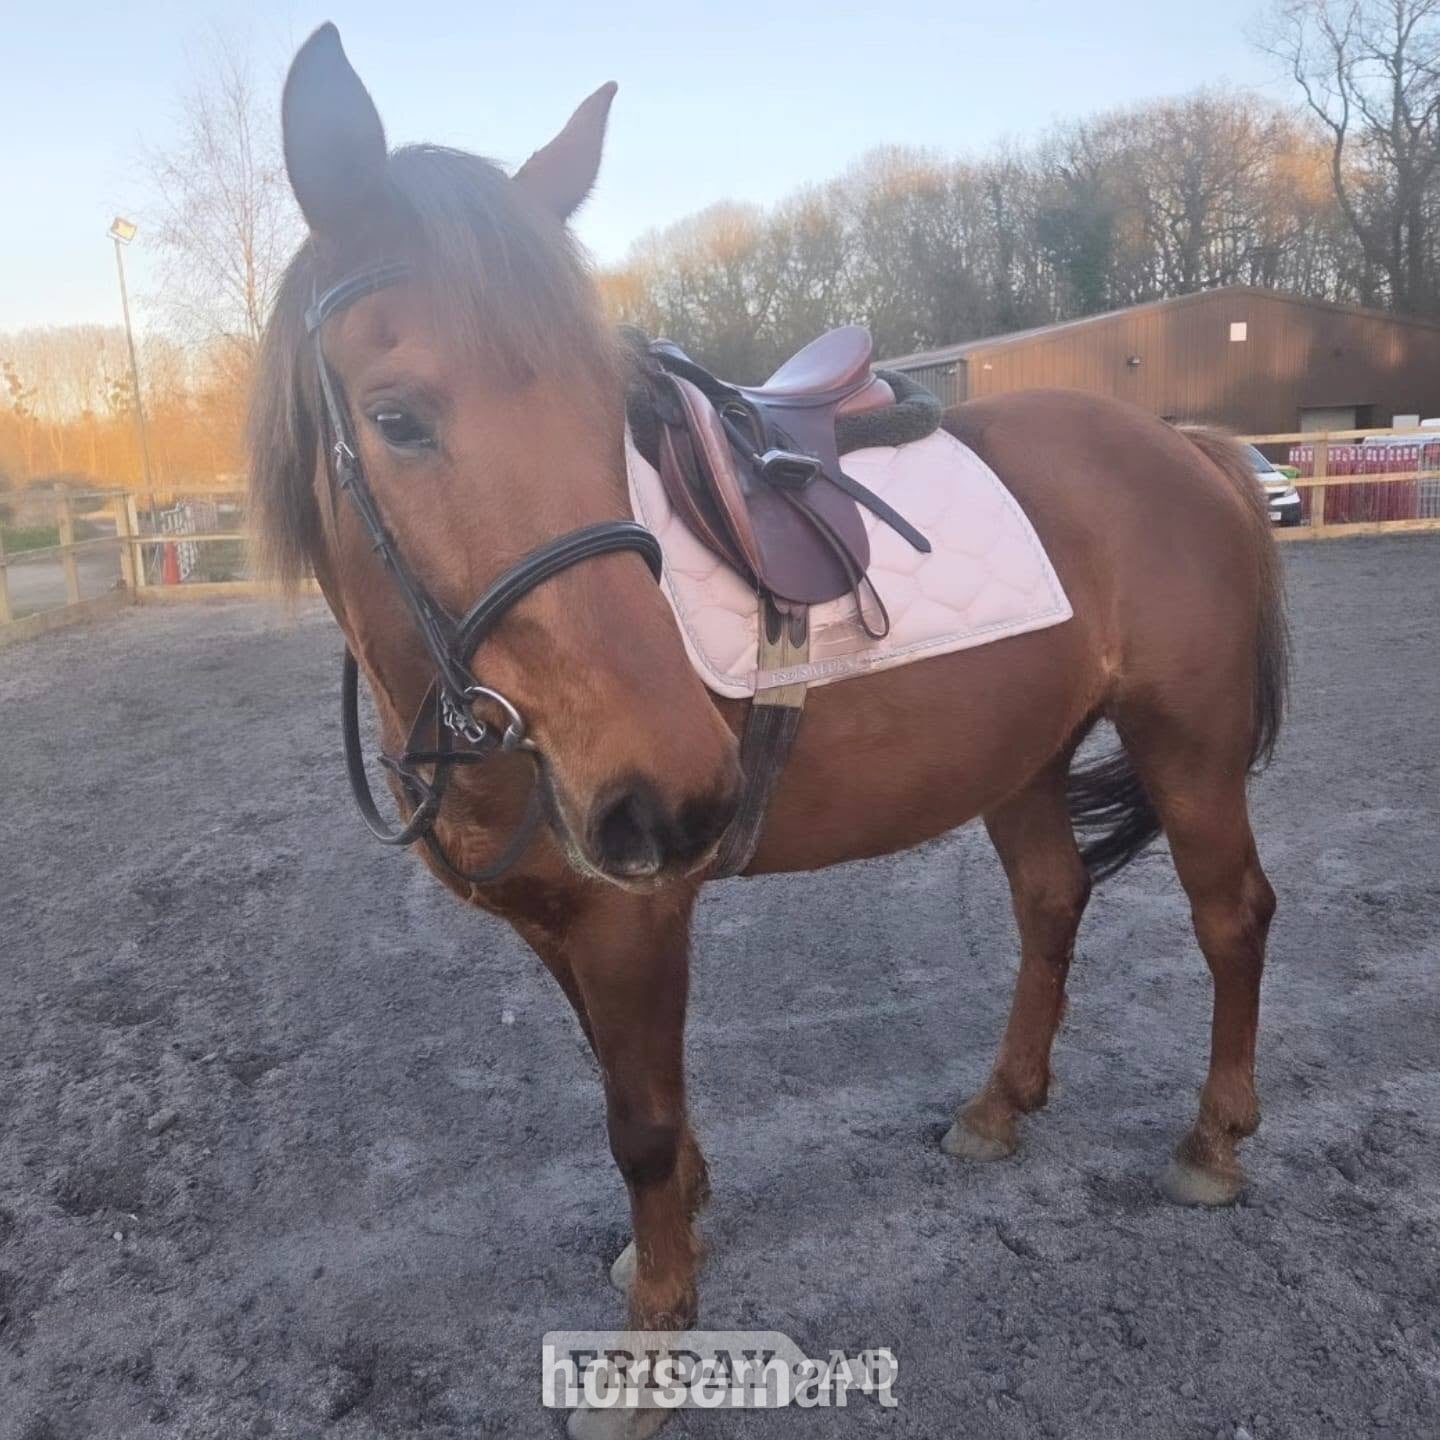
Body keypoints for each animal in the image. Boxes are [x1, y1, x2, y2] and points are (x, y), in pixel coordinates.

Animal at [250, 23, 1287, 1430]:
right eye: (397, 417)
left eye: (606, 407)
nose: (677, 785)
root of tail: (1187, 447)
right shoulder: (572, 917)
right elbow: (630, 1089)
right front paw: (675, 1236)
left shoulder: (632, 914)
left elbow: (637, 1121)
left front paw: (650, 1347)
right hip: (1020, 757)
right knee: (1051, 902)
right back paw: (1000, 1106)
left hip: (1191, 748)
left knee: (1232, 917)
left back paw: (1214, 1141)